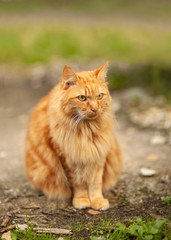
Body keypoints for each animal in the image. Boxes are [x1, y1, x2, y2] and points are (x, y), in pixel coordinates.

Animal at [25, 62, 121, 210]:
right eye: (82, 98)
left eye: (100, 96)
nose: (95, 109)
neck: (88, 130)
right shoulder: (69, 159)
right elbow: (79, 184)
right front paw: (82, 200)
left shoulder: (98, 156)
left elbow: (95, 183)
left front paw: (97, 201)